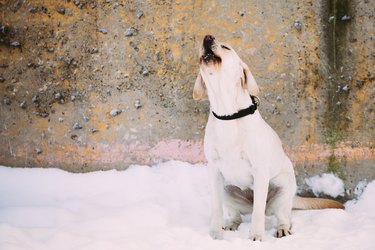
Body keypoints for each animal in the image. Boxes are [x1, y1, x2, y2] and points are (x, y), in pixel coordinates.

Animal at [194, 34, 344, 240]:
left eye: (226, 47)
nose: (207, 38)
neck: (228, 114)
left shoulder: (259, 170)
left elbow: (258, 211)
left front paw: (256, 237)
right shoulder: (214, 170)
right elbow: (216, 210)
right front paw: (215, 237)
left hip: (282, 191)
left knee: (282, 216)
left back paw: (282, 228)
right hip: (227, 190)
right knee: (236, 215)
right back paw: (231, 225)